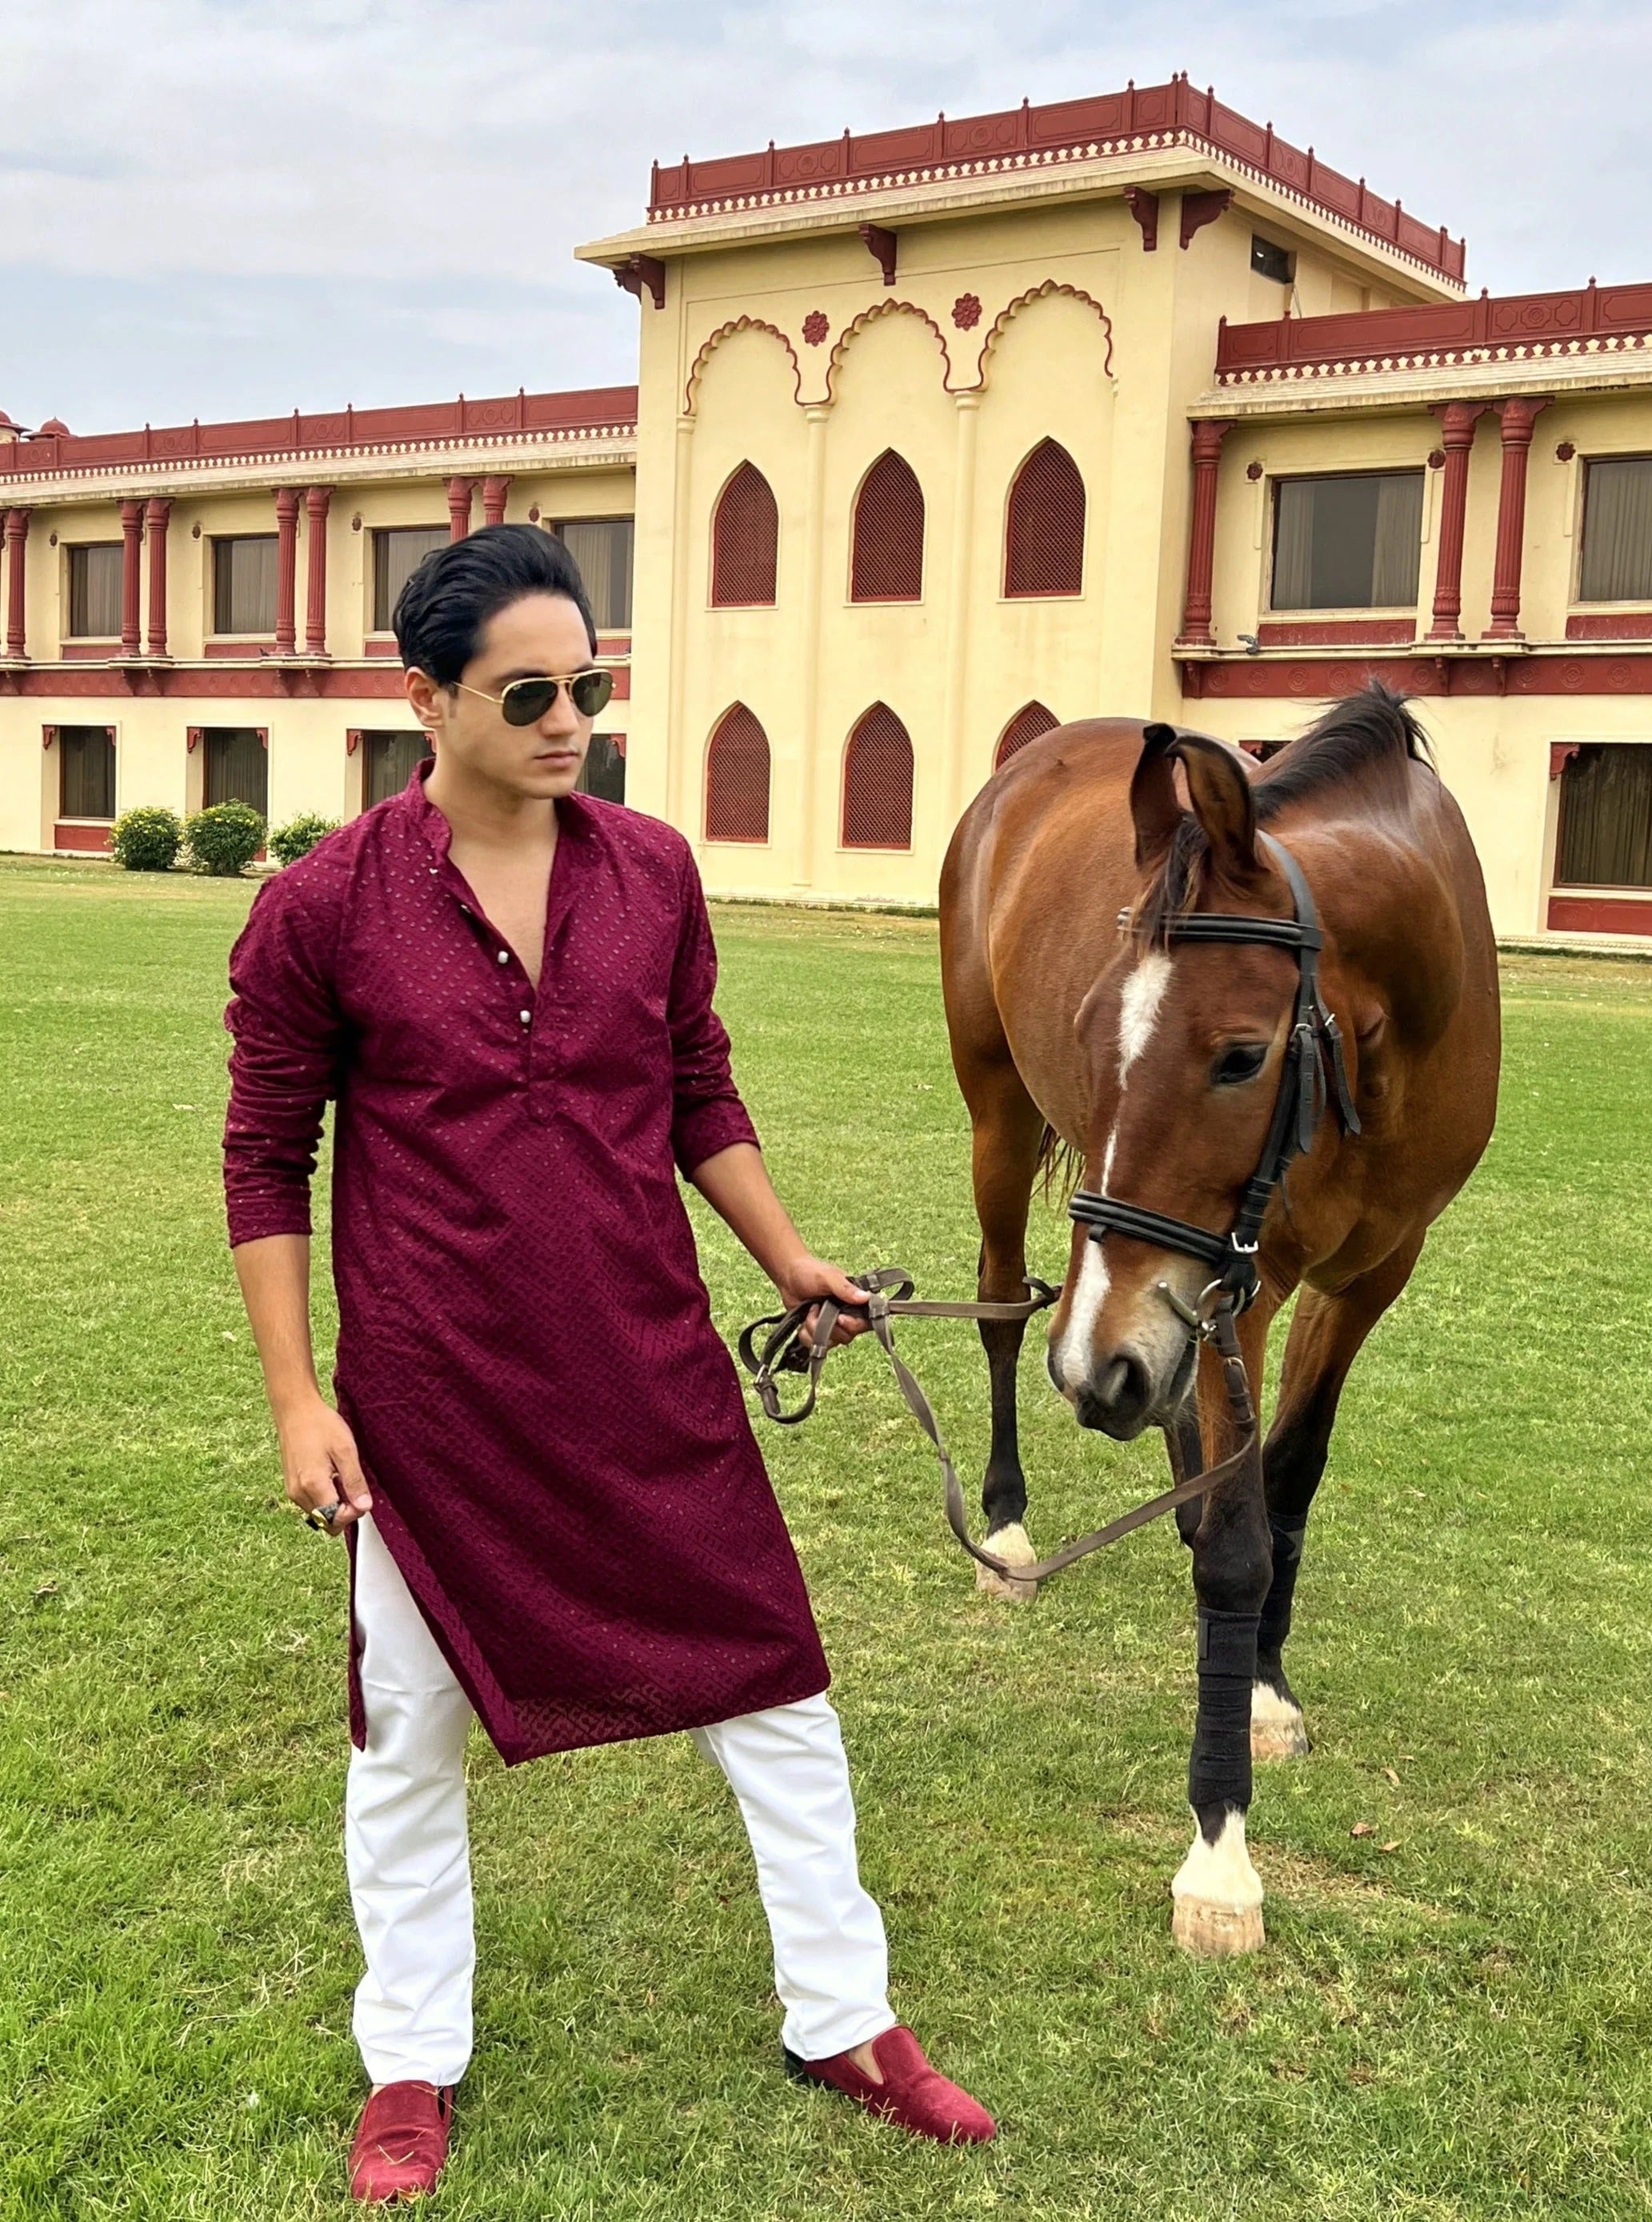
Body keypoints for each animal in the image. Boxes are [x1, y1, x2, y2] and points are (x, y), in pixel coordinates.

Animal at [941, 684, 1501, 1955]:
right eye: (1091, 1030)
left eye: (1240, 1057)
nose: (1096, 1370)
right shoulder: (1241, 1277)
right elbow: (1240, 1536)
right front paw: (1219, 1848)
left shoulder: (1367, 1272)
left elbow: (1285, 1477)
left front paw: (1263, 1685)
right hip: (1004, 1114)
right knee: (1004, 1307)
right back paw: (1006, 1527)